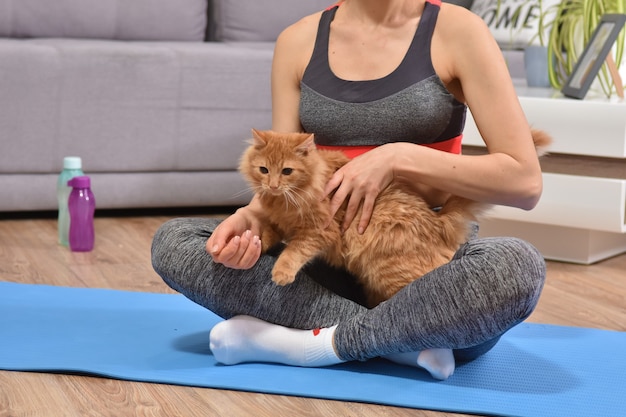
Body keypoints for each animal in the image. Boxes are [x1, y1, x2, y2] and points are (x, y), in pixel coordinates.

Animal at [239, 128, 544, 308]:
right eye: (264, 170)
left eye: (287, 171)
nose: (273, 185)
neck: (286, 200)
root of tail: (438, 222)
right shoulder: (282, 221)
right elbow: (270, 230)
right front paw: (253, 241)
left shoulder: (320, 231)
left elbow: (294, 250)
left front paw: (281, 272)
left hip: (391, 273)